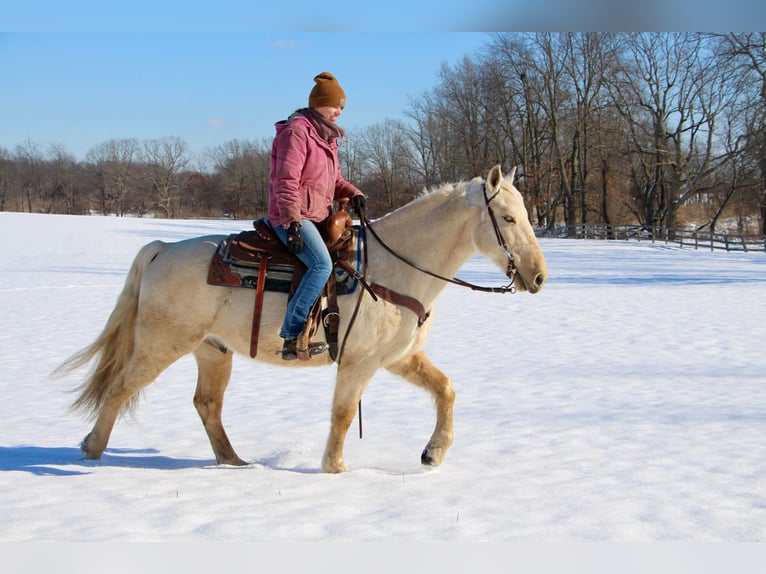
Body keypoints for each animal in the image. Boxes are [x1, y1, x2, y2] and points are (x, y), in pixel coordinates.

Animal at [55, 164, 544, 474]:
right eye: (507, 218)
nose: (538, 276)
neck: (394, 268)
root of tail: (161, 249)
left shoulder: (399, 358)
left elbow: (446, 390)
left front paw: (432, 454)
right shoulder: (359, 362)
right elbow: (343, 414)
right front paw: (336, 468)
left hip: (213, 352)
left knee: (207, 405)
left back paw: (233, 461)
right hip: (161, 344)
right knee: (120, 388)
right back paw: (91, 450)